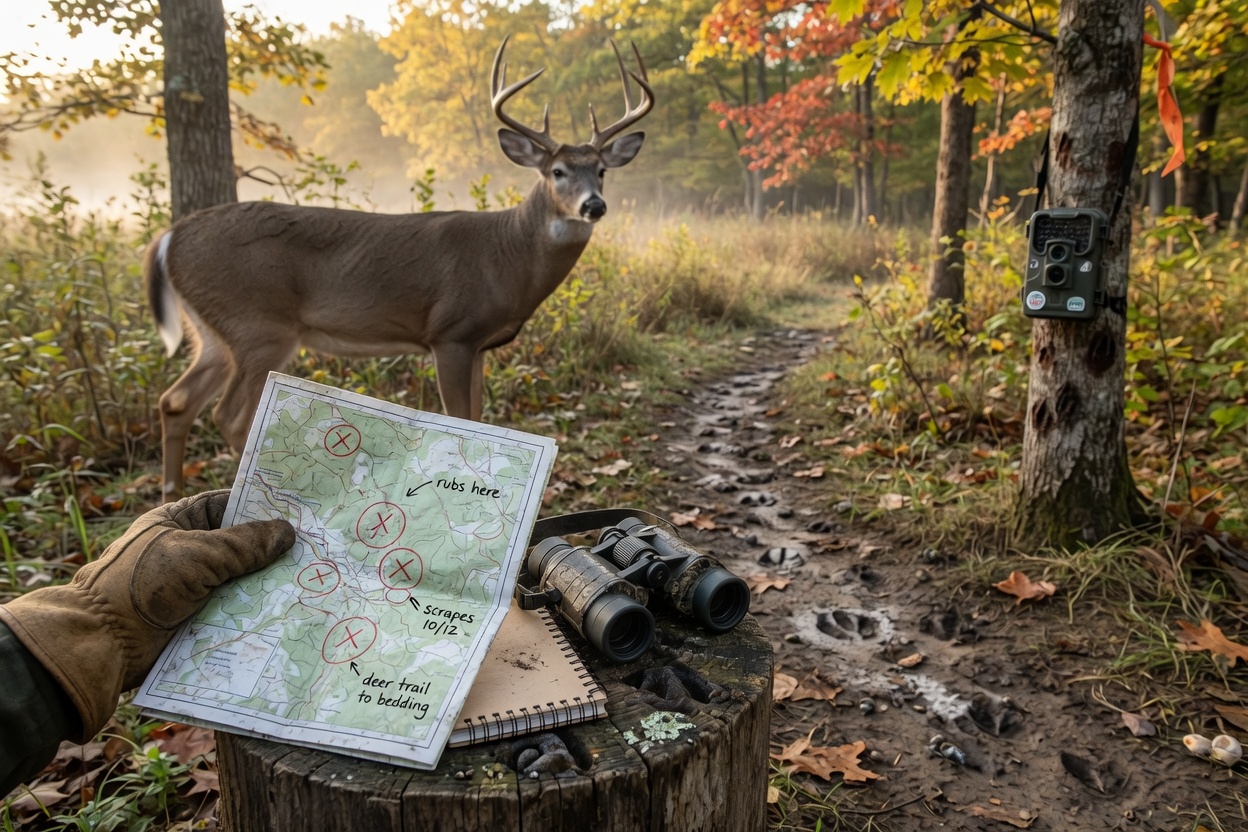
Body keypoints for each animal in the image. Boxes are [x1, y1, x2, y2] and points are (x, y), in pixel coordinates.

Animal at [147, 37, 653, 501]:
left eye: (602, 170)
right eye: (558, 171)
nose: (594, 205)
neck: (508, 257)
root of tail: (169, 239)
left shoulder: (480, 344)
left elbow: (480, 418)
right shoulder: (450, 333)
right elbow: (461, 419)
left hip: (215, 332)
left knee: (176, 400)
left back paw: (170, 497)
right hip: (259, 324)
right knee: (229, 416)